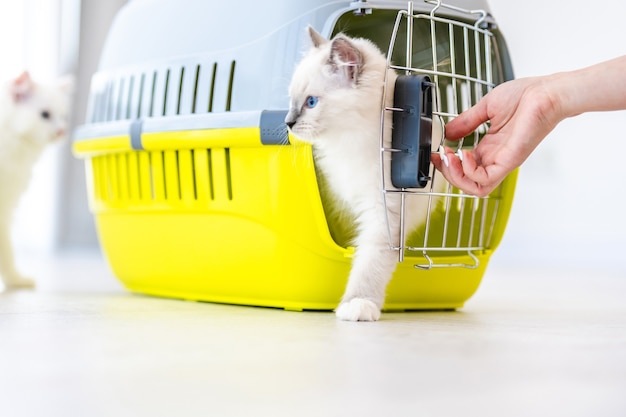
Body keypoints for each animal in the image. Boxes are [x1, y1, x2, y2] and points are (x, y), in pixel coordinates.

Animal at [0, 71, 73, 290]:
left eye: (64, 117)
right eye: (45, 115)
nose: (61, 131)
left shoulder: (6, 208)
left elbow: (6, 251)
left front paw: (15, 280)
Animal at [286, 27, 442, 320]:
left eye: (311, 102)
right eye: (291, 102)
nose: (287, 122)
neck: (349, 144)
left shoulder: (383, 212)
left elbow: (369, 264)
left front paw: (357, 304)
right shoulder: (336, 202)